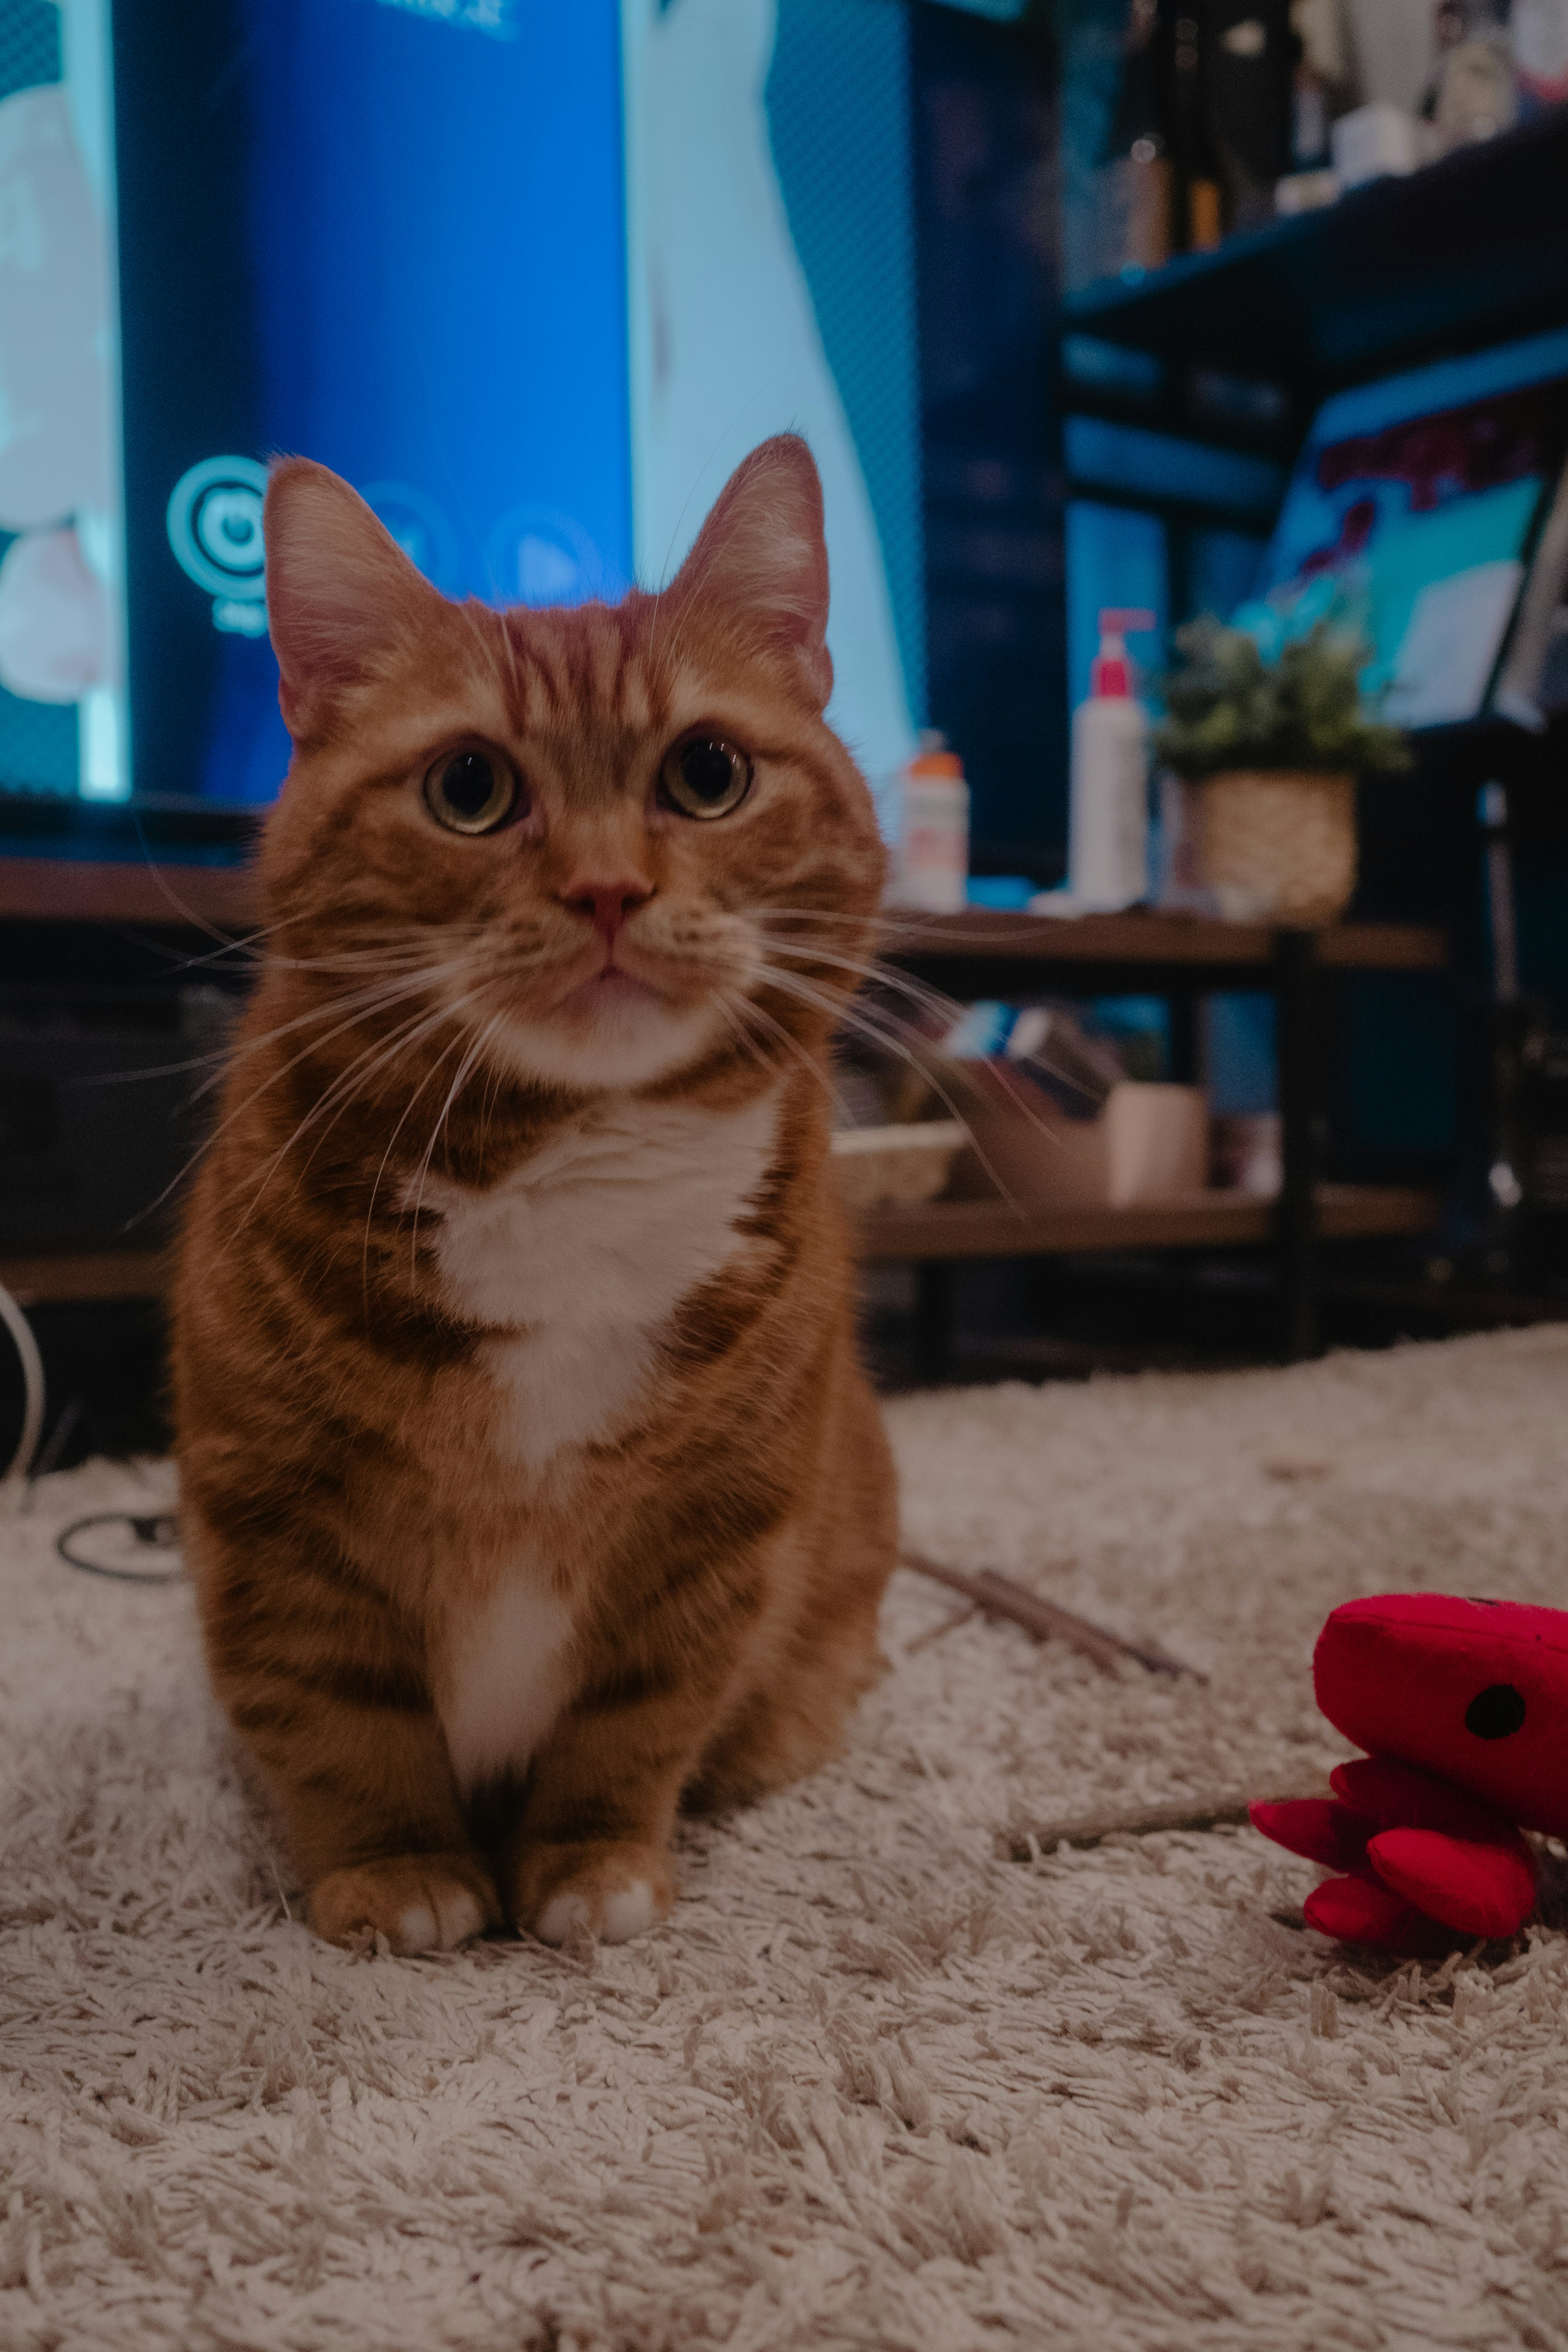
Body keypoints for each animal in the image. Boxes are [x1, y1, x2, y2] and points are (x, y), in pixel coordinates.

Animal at [170, 437, 893, 1947]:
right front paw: (398, 1875)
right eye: (469, 790)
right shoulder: (275, 1522)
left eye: (709, 772)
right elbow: (340, 1718)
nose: (609, 890)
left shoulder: (716, 1533)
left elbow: (633, 1721)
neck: (573, 1174)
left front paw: (591, 1865)